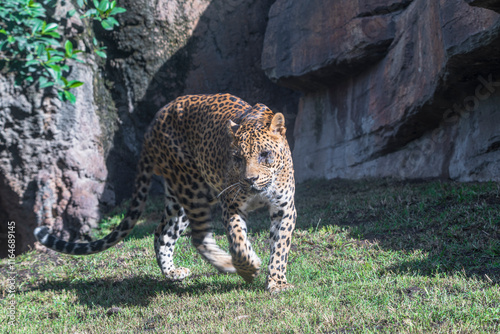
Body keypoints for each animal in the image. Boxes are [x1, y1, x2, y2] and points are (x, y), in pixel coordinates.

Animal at [35, 93, 296, 292]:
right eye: (238, 158)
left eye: (264, 155)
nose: (249, 180)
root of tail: (156, 119)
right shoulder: (230, 204)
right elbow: (239, 242)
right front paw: (248, 268)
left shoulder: (284, 209)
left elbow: (280, 247)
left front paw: (277, 281)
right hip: (192, 188)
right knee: (197, 237)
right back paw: (224, 264)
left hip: (178, 200)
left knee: (162, 232)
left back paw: (171, 272)